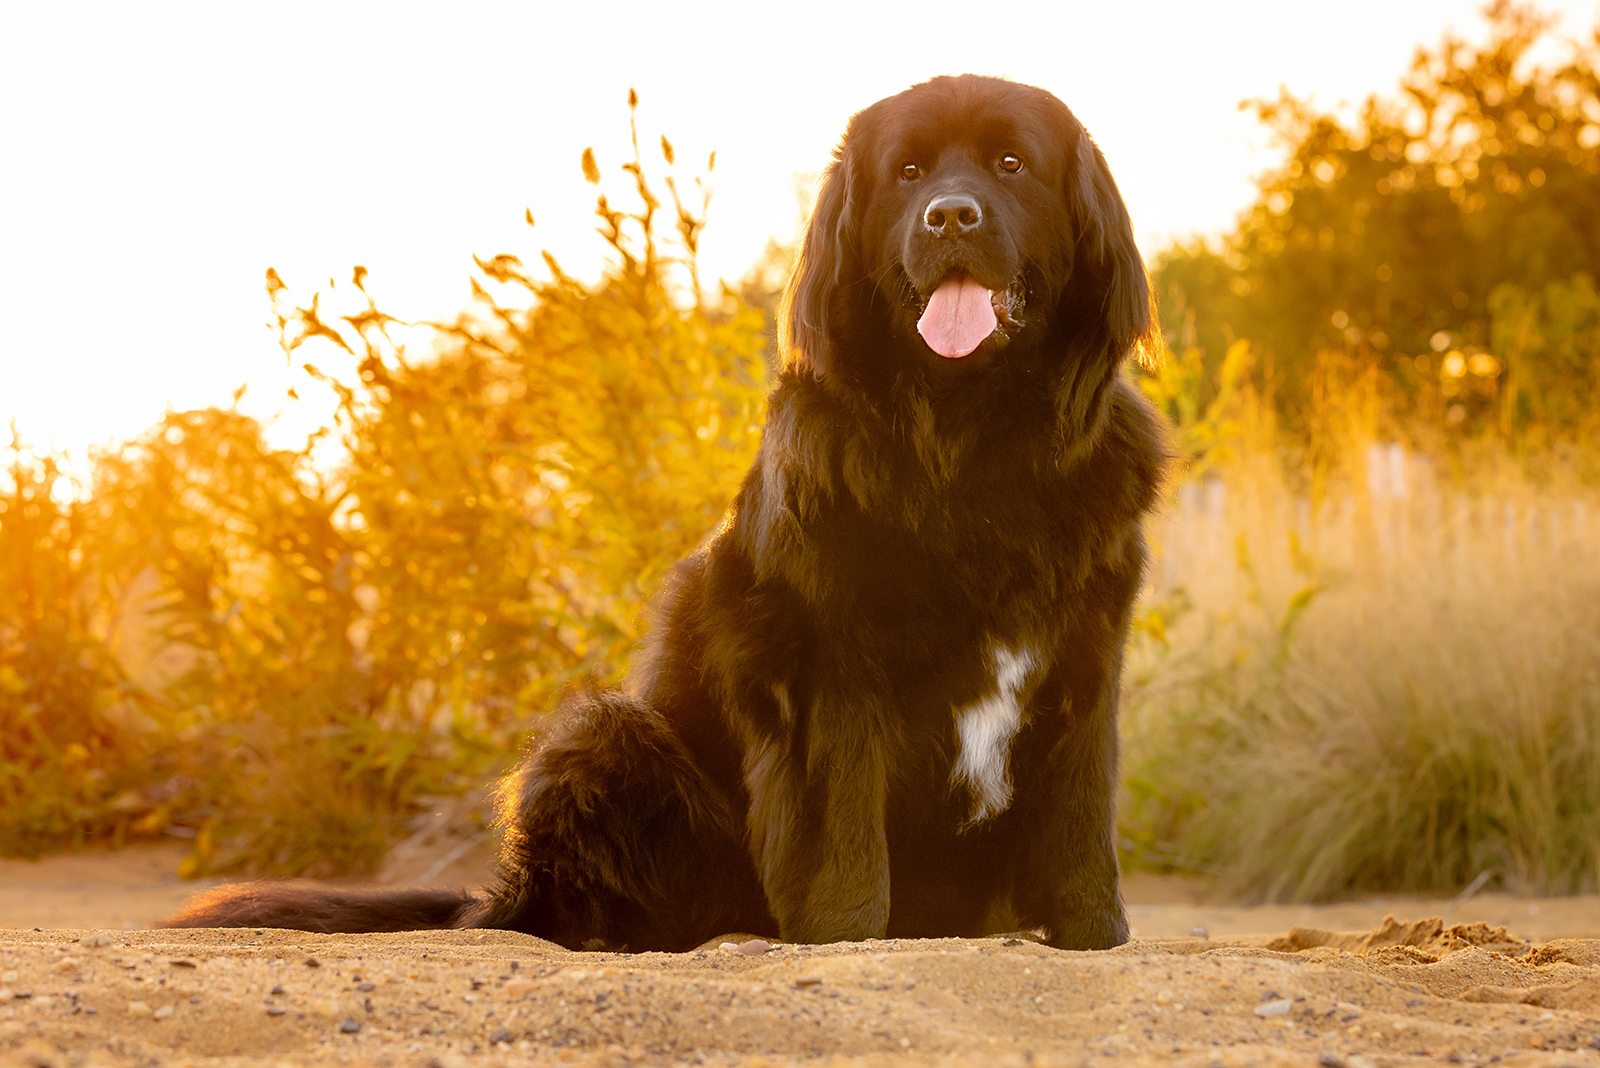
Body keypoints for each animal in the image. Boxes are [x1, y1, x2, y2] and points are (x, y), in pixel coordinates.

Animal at [165, 75, 1164, 952]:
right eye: (910, 174)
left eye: (1010, 164)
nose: (949, 216)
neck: (971, 441)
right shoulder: (826, 659)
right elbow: (843, 834)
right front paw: (845, 937)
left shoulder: (1085, 656)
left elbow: (1083, 818)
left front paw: (1093, 935)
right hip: (603, 735)